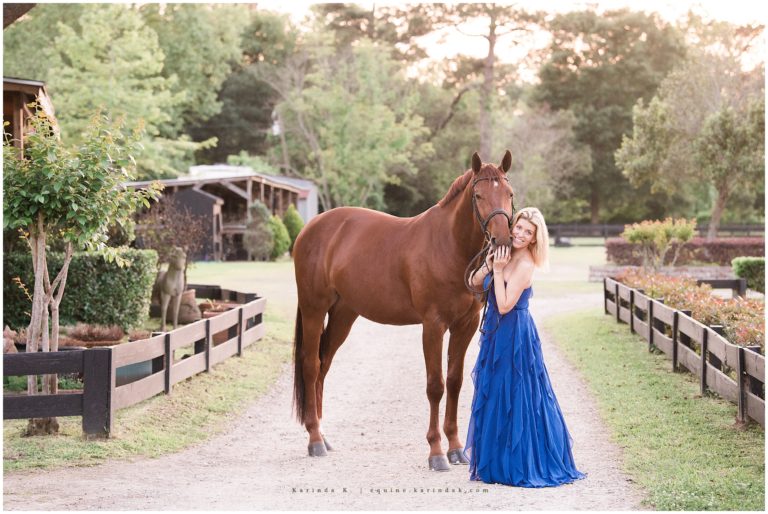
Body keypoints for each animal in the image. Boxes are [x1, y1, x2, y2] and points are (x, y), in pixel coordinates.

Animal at [292, 151, 515, 471]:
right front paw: (436, 452)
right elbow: (435, 386)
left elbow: (455, 382)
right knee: (311, 366)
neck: (449, 245)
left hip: (343, 315)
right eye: (478, 195)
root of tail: (311, 228)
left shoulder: (466, 325)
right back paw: (314, 440)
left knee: (324, 366)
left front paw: (456, 448)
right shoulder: (433, 325)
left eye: (509, 193)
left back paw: (322, 434)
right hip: (314, 309)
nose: (502, 240)